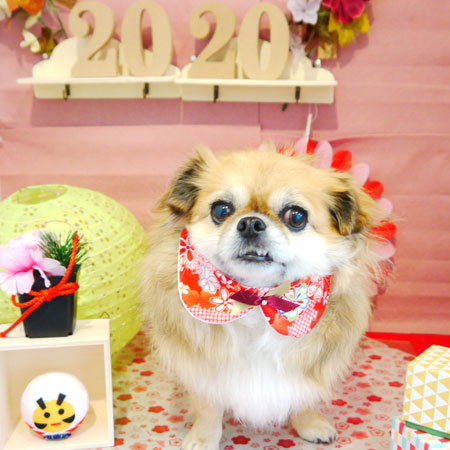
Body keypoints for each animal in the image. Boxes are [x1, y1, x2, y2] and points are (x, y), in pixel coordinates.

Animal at [141, 145, 389, 449]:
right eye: (221, 210)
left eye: (296, 217)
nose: (250, 224)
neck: (258, 301)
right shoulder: (204, 372)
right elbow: (209, 407)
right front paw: (203, 439)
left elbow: (303, 397)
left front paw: (310, 423)